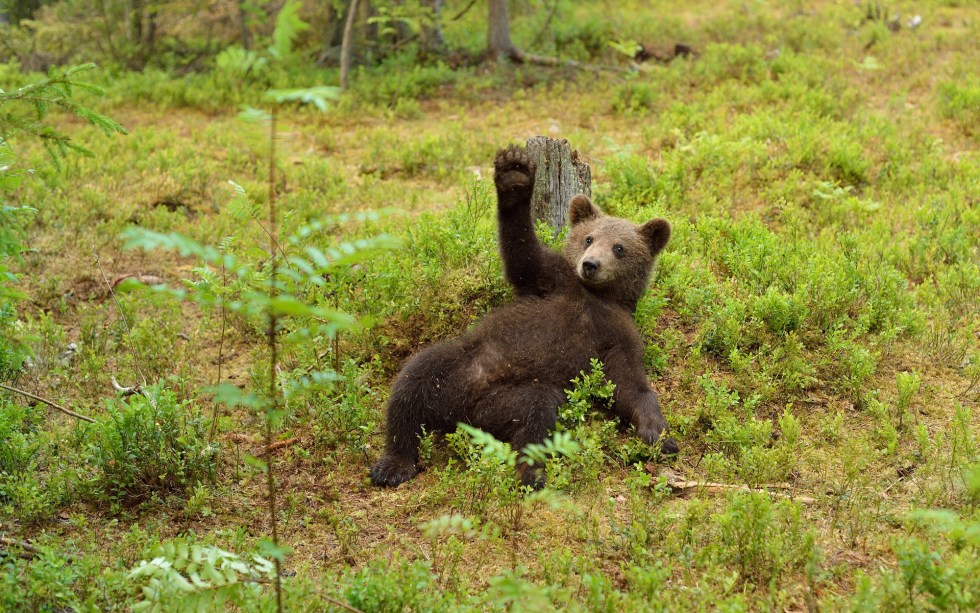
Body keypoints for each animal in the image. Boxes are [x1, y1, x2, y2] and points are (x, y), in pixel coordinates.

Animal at [369, 145, 676, 488]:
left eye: (619, 247)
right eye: (588, 238)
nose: (591, 264)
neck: (594, 296)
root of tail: (458, 412)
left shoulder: (617, 334)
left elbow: (629, 384)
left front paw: (659, 434)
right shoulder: (552, 281)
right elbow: (524, 255)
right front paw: (514, 177)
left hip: (506, 400)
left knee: (534, 414)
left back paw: (530, 471)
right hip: (456, 362)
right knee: (411, 383)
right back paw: (393, 464)